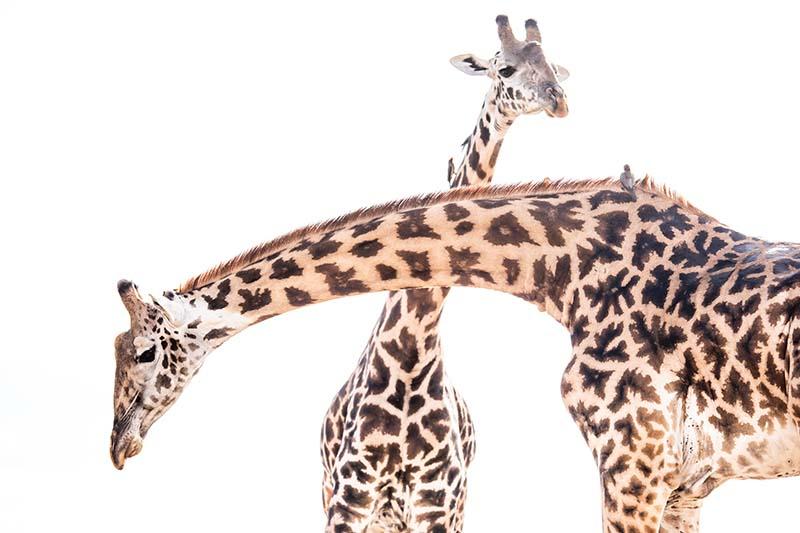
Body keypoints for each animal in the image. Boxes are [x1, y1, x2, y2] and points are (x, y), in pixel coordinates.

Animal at [319, 15, 569, 532]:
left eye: (554, 65)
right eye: (505, 68)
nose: (558, 98)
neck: (410, 353)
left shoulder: (439, 501)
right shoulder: (349, 497)